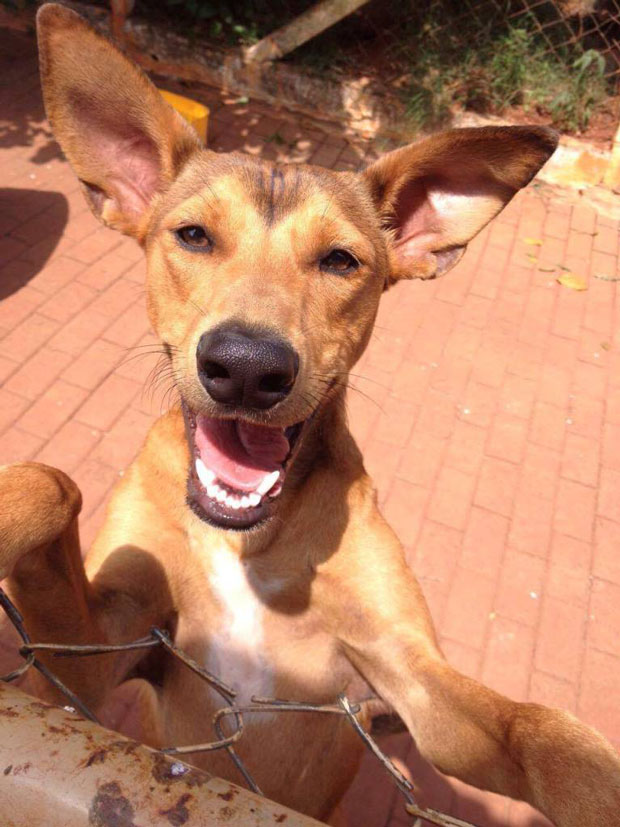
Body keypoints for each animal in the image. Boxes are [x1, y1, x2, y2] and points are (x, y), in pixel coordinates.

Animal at [1, 3, 620, 824]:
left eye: (340, 261)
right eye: (192, 235)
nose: (246, 366)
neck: (249, 540)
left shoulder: (412, 676)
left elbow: (545, 729)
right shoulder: (99, 651)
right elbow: (50, 482)